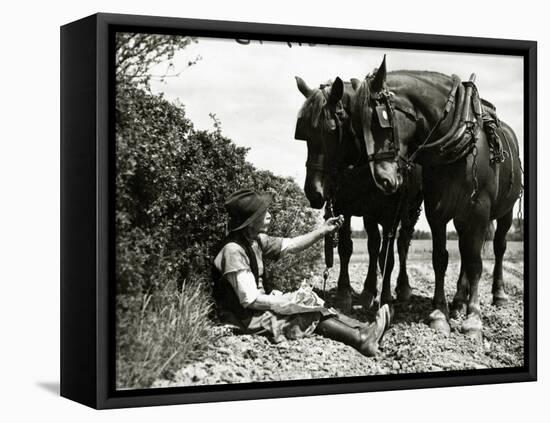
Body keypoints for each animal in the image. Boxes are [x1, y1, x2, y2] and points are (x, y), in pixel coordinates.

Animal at [298, 75, 422, 312]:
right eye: (304, 134)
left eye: (330, 130)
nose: (313, 192)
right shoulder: (348, 207)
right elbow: (347, 248)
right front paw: (346, 292)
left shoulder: (391, 213)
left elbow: (386, 254)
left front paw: (384, 296)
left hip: (411, 210)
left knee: (402, 244)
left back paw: (401, 288)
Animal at [356, 57, 524, 342]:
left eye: (380, 121)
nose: (383, 178)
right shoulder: (438, 211)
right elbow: (440, 258)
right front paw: (439, 313)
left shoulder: (479, 211)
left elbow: (476, 264)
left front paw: (473, 320)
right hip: (461, 218)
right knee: (466, 253)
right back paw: (457, 302)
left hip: (504, 212)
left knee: (498, 248)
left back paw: (498, 295)